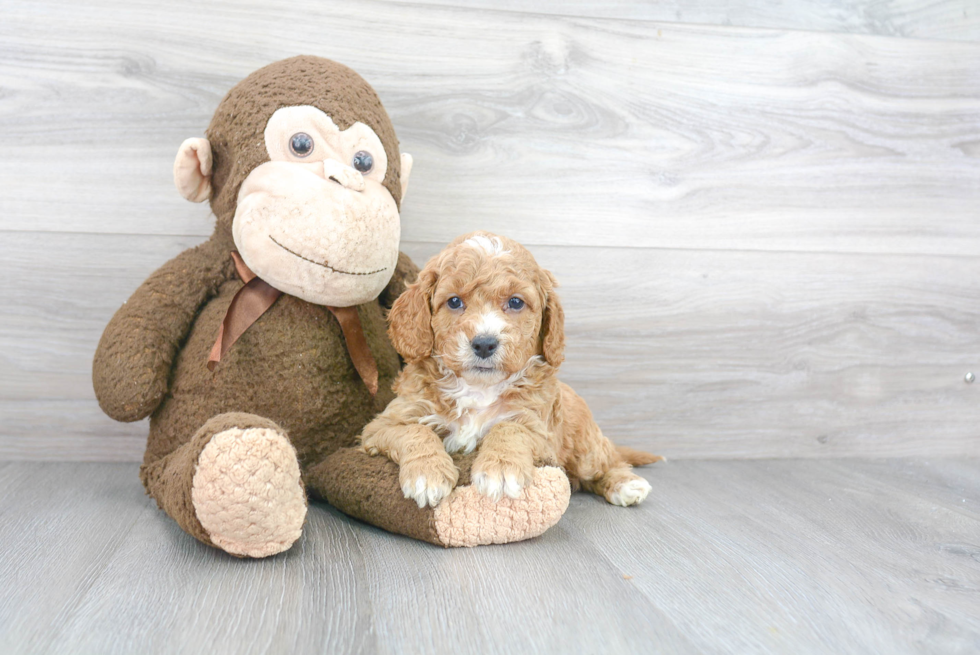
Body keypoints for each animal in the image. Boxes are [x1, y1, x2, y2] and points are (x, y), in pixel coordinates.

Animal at [356, 233, 664, 510]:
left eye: (516, 302)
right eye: (454, 301)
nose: (484, 343)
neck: (478, 388)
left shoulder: (541, 431)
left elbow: (509, 427)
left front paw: (501, 470)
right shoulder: (382, 425)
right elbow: (415, 431)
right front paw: (427, 474)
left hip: (586, 448)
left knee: (607, 463)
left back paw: (625, 484)